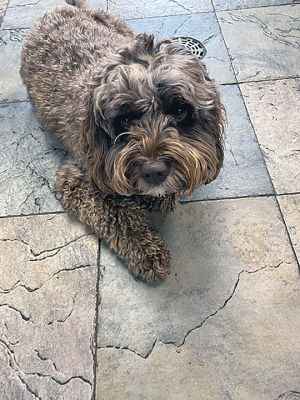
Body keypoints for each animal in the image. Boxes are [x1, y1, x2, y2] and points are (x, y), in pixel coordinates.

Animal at [19, 0, 225, 282]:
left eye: (179, 110)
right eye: (125, 118)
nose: (154, 172)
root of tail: (65, 7)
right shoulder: (79, 179)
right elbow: (118, 215)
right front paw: (147, 251)